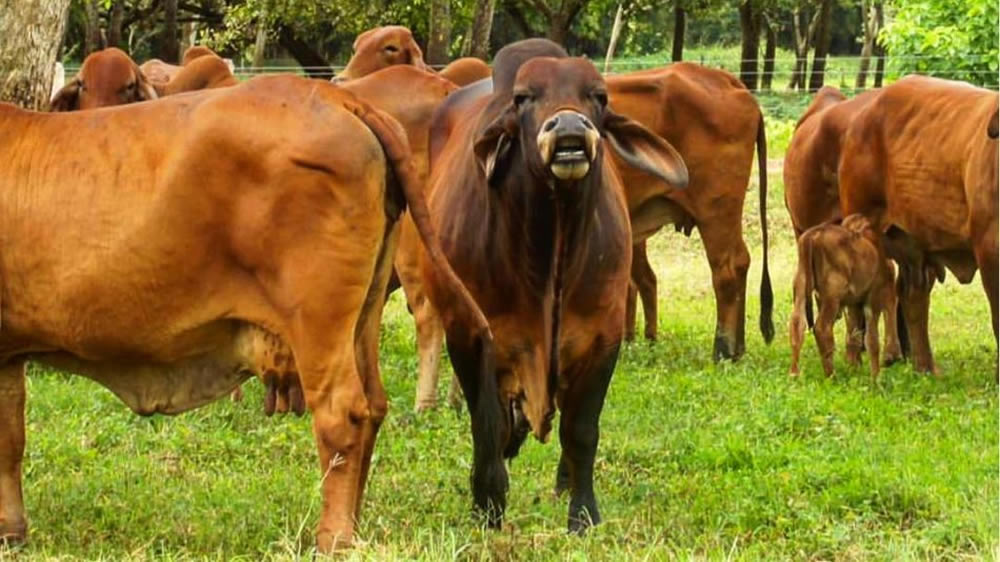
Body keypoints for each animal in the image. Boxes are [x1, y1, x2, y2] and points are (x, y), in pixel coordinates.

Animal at [0, 73, 486, 548]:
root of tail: (339, 98)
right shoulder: (6, 357)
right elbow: (10, 439)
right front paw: (12, 530)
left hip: (318, 325)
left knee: (342, 413)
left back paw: (332, 537)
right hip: (364, 315)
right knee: (374, 407)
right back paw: (354, 523)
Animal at [416, 39, 688, 528]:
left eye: (599, 96)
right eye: (524, 97)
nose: (569, 126)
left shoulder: (604, 337)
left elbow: (580, 430)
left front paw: (583, 514)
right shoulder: (468, 332)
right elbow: (487, 426)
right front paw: (488, 505)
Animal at [788, 214, 900, 376]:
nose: (893, 358)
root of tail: (812, 236)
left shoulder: (855, 303)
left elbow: (854, 336)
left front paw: (854, 368)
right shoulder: (874, 297)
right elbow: (872, 339)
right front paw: (877, 374)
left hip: (801, 286)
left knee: (797, 324)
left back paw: (794, 374)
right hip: (832, 296)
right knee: (821, 328)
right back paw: (831, 375)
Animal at [840, 74, 996, 372]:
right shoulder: (989, 247)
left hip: (914, 245)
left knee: (913, 295)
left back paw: (925, 367)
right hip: (863, 226)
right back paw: (854, 361)